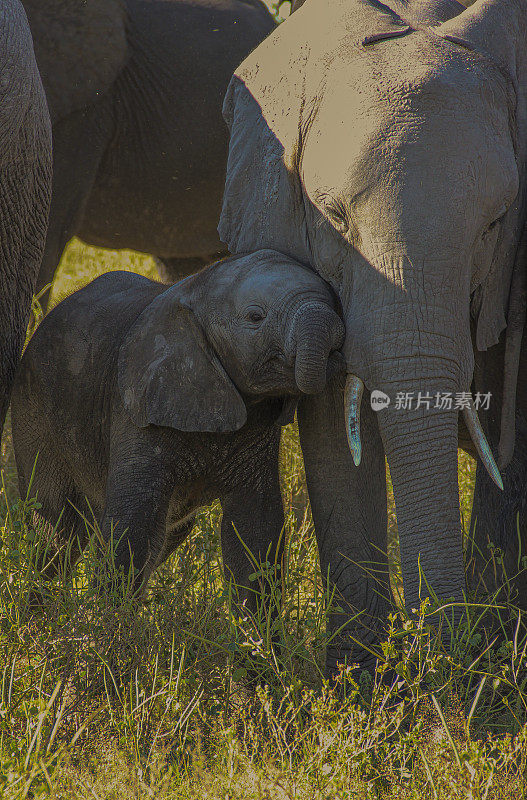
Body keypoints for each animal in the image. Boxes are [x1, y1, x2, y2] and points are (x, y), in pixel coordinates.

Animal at [12, 250, 346, 612]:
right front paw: (108, 625)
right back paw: (40, 618)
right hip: (33, 412)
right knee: (57, 529)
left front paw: (258, 630)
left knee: (167, 532)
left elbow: (256, 528)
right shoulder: (138, 409)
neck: (196, 287)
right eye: (256, 317)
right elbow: (132, 526)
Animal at [217, 0, 524, 676]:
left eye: (495, 225)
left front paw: (489, 668)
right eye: (333, 217)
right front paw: (356, 680)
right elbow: (334, 434)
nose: (438, 662)